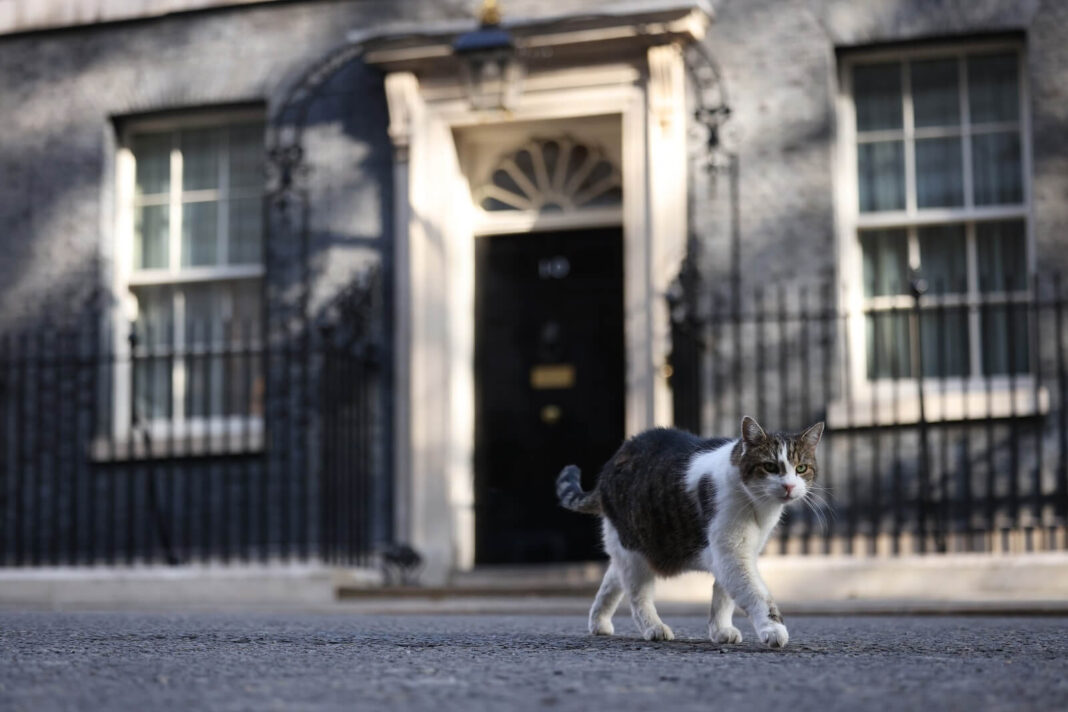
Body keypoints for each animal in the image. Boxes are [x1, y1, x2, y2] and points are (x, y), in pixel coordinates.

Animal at [559, 414, 824, 649]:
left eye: (801, 468)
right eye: (769, 466)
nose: (789, 486)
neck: (758, 506)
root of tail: (610, 464)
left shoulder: (738, 553)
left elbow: (722, 596)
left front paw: (720, 630)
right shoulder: (731, 554)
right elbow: (756, 594)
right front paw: (773, 629)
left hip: (631, 547)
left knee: (612, 578)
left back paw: (599, 622)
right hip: (634, 550)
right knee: (636, 595)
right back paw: (653, 628)